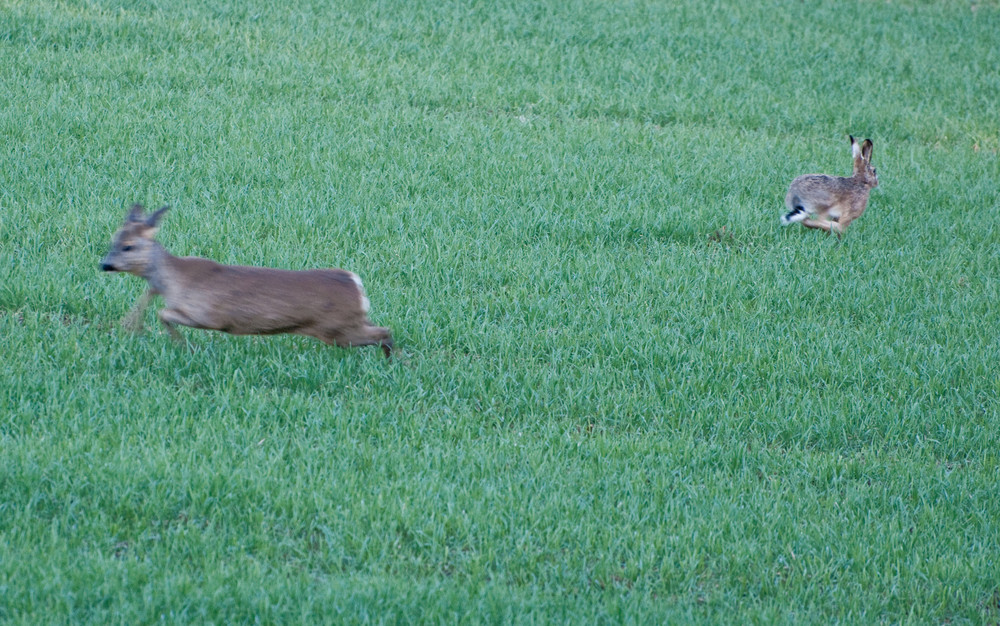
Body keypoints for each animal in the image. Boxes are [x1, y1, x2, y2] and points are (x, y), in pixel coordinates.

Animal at [100, 202, 390, 354]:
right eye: (113, 240)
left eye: (128, 246)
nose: (104, 264)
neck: (174, 280)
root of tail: (356, 283)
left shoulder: (207, 314)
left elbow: (164, 314)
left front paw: (183, 344)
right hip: (349, 323)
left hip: (336, 329)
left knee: (386, 332)